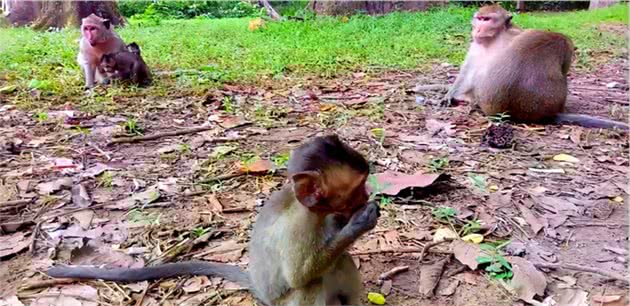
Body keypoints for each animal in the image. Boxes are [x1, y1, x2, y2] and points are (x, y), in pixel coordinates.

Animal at [47, 135, 380, 306]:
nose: (367, 194)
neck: (310, 211)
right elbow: (299, 277)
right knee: (313, 280)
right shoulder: (299, 227)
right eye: (357, 188)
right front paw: (359, 222)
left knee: (340, 262)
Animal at [446, 4, 628, 131]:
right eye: (479, 18)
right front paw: (448, 96)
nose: (477, 29)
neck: (495, 38)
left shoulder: (516, 34)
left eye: (487, 20)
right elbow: (468, 69)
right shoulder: (476, 44)